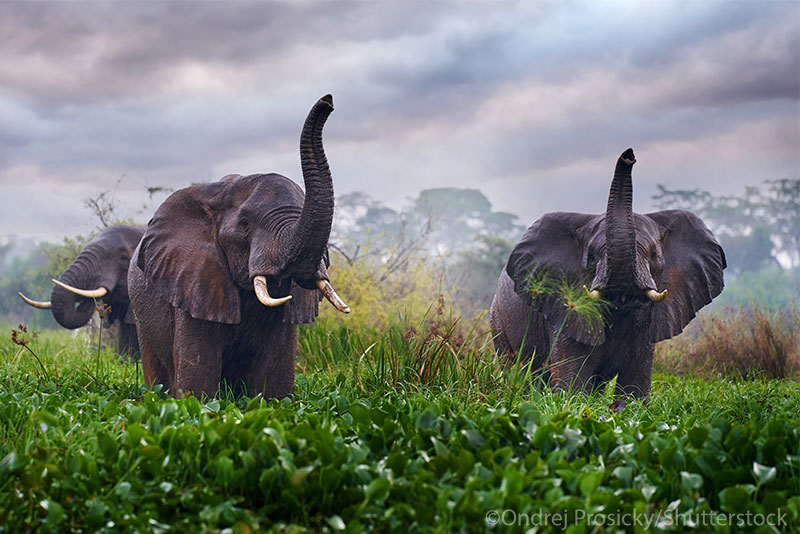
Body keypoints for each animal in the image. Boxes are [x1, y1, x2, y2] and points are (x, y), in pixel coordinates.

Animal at [490, 148, 726, 398]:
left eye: (653, 255)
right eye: (592, 256)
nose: (629, 155)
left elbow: (634, 388)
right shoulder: (567, 312)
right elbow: (572, 385)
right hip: (498, 322)